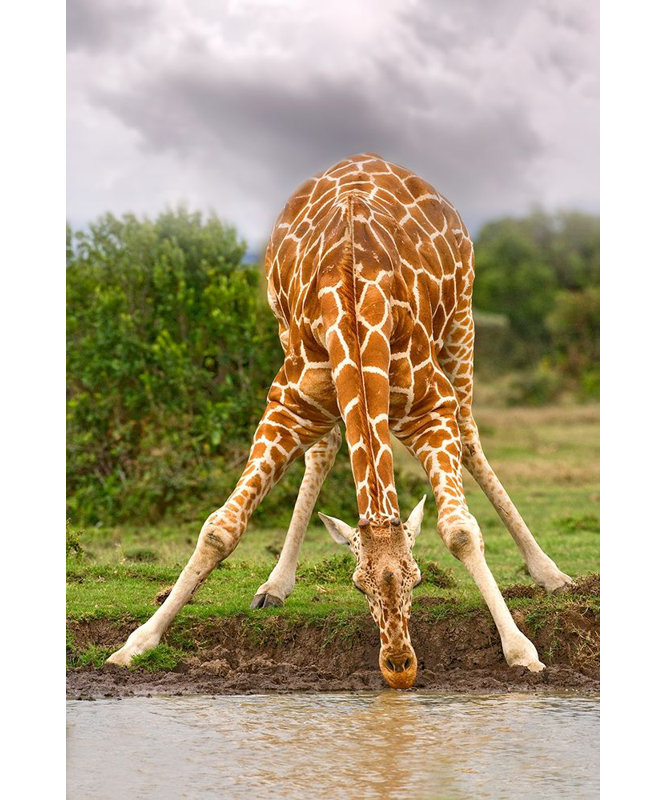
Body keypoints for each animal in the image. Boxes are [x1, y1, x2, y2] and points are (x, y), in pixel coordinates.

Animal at [107, 154, 572, 688]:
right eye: (357, 585)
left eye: (417, 579)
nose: (399, 667)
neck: (354, 301)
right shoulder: (288, 405)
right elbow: (220, 528)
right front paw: (135, 644)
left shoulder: (430, 409)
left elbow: (460, 531)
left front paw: (521, 650)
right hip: (286, 333)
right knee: (324, 451)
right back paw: (275, 585)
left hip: (463, 318)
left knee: (472, 436)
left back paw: (550, 573)